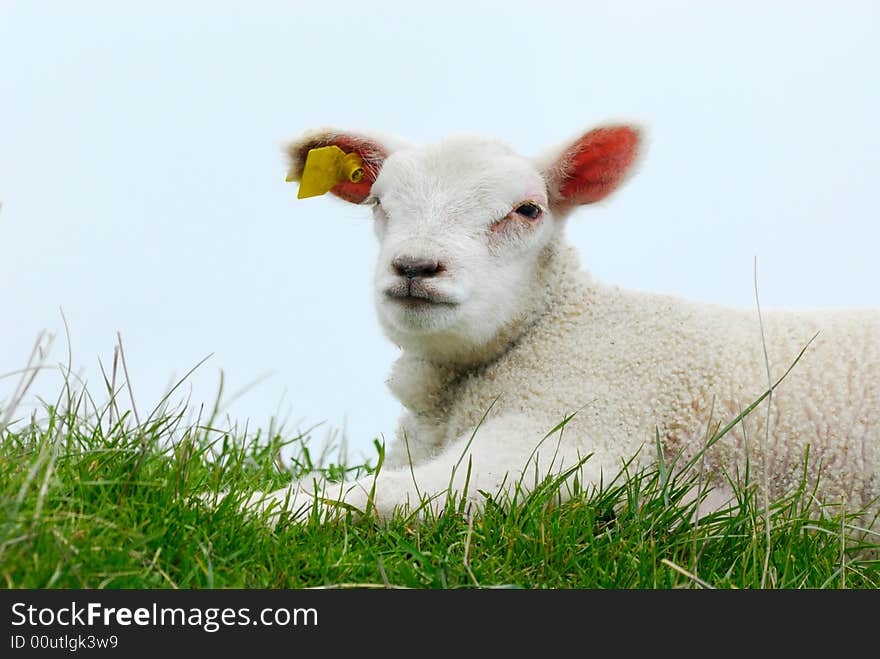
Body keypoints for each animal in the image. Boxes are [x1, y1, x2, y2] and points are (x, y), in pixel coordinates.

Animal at [248, 122, 880, 524]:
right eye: (379, 203)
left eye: (528, 210)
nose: (415, 267)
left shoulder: (571, 441)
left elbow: (385, 495)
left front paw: (242, 506)